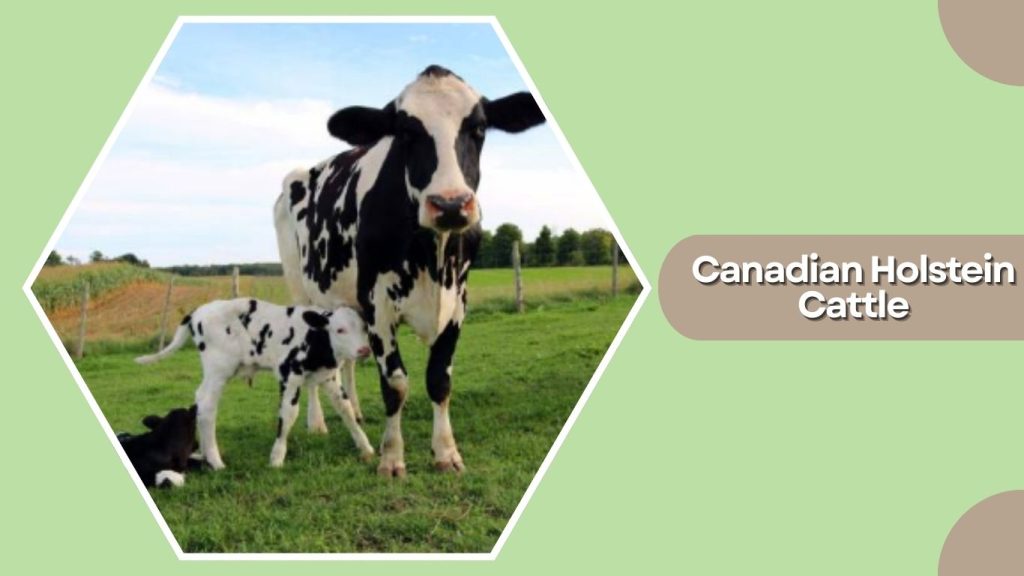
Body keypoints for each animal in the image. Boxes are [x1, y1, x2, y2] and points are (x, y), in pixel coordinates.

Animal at [274, 65, 546, 476]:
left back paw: (355, 409)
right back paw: (317, 422)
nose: (450, 204)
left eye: (479, 128)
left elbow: (439, 380)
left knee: (348, 361)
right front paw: (391, 458)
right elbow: (396, 385)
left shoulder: (457, 302)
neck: (431, 255)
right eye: (405, 132)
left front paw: (446, 453)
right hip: (302, 290)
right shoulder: (378, 306)